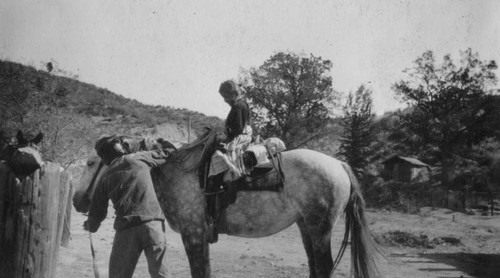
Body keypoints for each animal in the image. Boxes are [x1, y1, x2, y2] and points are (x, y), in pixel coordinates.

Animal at [72, 131, 376, 276]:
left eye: (90, 163)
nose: (77, 201)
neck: (175, 169)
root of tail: (339, 164)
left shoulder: (193, 234)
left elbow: (199, 272)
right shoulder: (200, 236)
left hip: (320, 228)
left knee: (323, 267)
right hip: (306, 227)